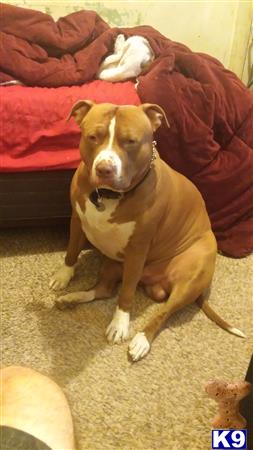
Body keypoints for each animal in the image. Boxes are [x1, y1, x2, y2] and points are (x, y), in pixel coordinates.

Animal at [49, 100, 245, 360]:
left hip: (187, 282)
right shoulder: (76, 220)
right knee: (103, 290)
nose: (104, 169)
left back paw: (141, 340)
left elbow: (127, 294)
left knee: (163, 312)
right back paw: (73, 297)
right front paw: (64, 276)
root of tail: (154, 281)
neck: (107, 195)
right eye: (92, 137)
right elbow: (71, 251)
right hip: (112, 264)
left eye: (131, 141)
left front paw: (120, 324)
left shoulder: (137, 249)